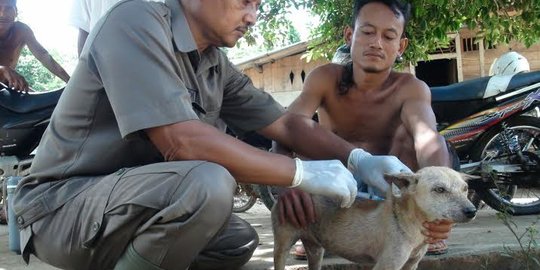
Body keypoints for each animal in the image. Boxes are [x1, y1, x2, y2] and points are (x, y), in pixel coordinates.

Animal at [274, 167, 476, 270]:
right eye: (439, 189)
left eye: (465, 188)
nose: (472, 211)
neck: (410, 220)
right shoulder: (387, 265)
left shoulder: (411, 264)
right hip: (282, 244)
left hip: (316, 249)